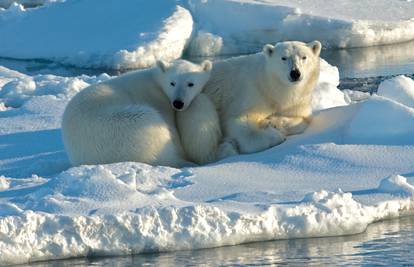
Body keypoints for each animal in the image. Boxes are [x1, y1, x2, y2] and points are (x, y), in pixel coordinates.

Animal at [62, 60, 215, 169]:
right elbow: (171, 128)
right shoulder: (158, 101)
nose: (178, 103)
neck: (157, 82)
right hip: (124, 127)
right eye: (172, 83)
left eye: (191, 84)